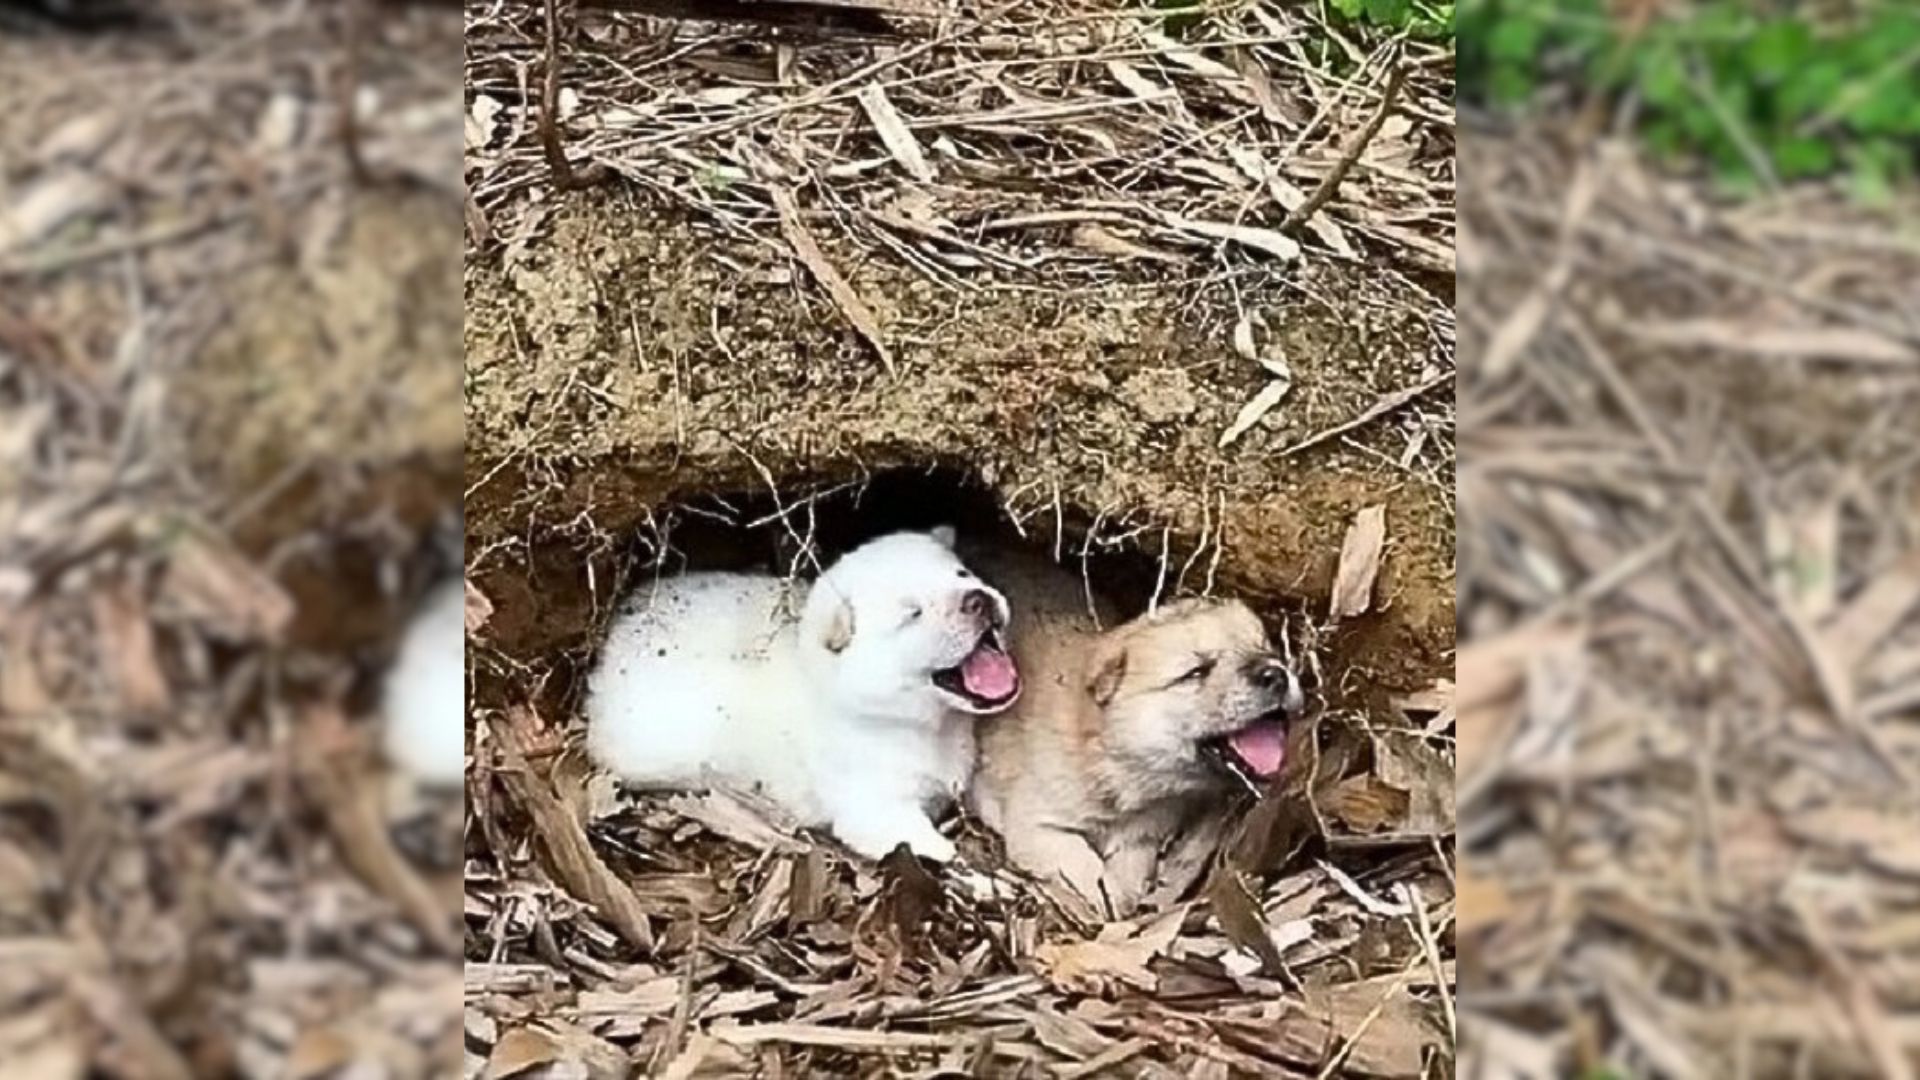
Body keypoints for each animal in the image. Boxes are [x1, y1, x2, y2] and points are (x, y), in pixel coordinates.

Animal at [960, 549, 1305, 910]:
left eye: (1267, 648)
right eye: (1196, 671)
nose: (1277, 674)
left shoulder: (1141, 835)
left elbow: (1130, 867)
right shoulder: (1034, 823)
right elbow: (1082, 863)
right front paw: (1106, 899)